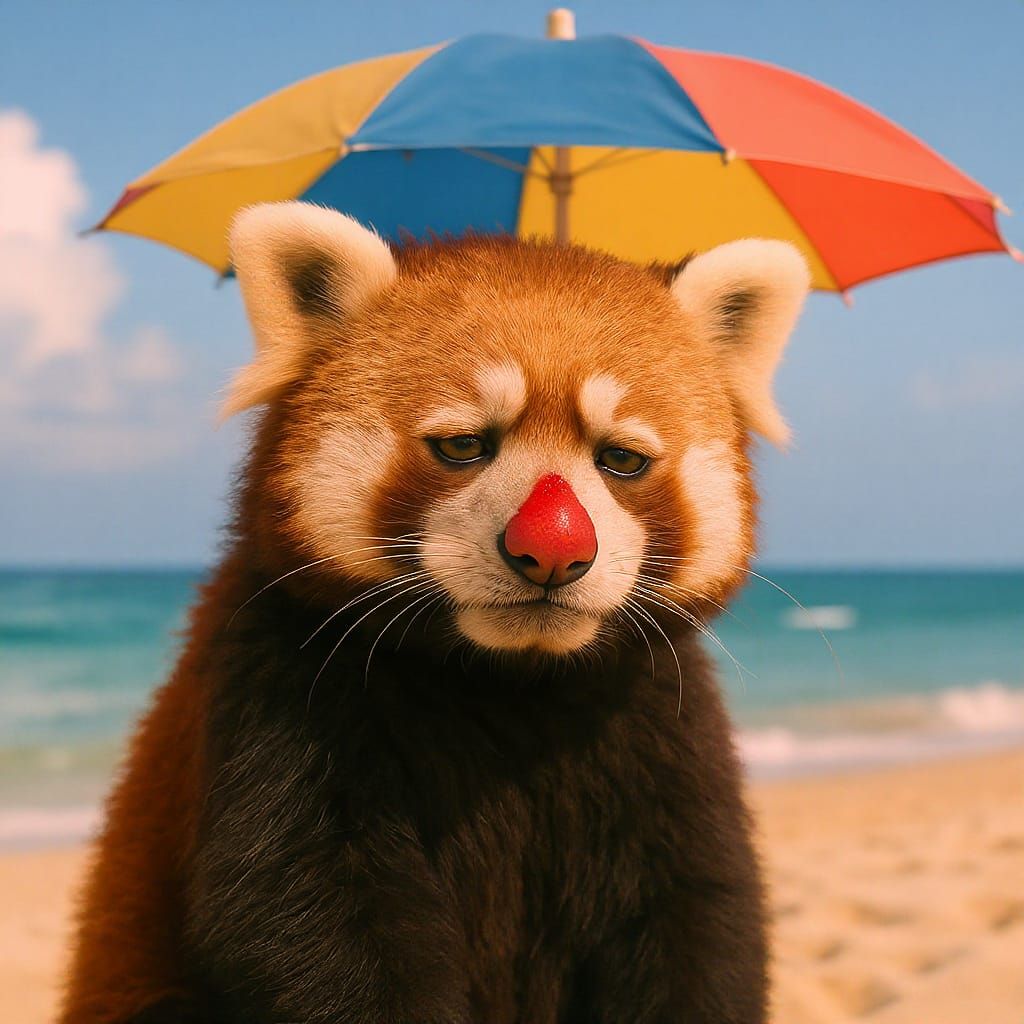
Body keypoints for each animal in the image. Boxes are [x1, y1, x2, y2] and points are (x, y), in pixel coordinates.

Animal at [61, 202, 809, 1024]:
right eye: (463, 445)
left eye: (620, 459)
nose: (553, 548)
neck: (507, 682)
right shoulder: (279, 700)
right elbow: (312, 928)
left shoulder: (662, 732)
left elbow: (698, 926)